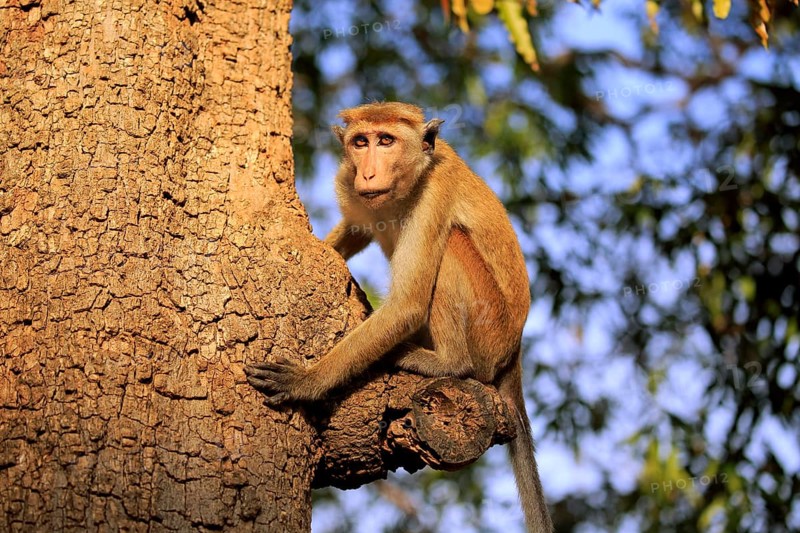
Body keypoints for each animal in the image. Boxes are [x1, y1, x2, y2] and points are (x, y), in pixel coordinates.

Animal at [245, 102, 553, 532]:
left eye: (386, 140)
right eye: (361, 142)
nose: (369, 172)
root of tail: (514, 351)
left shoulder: (434, 194)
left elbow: (407, 304)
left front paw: (307, 381)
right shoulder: (349, 184)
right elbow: (354, 231)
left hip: (488, 331)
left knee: (451, 244)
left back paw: (447, 362)